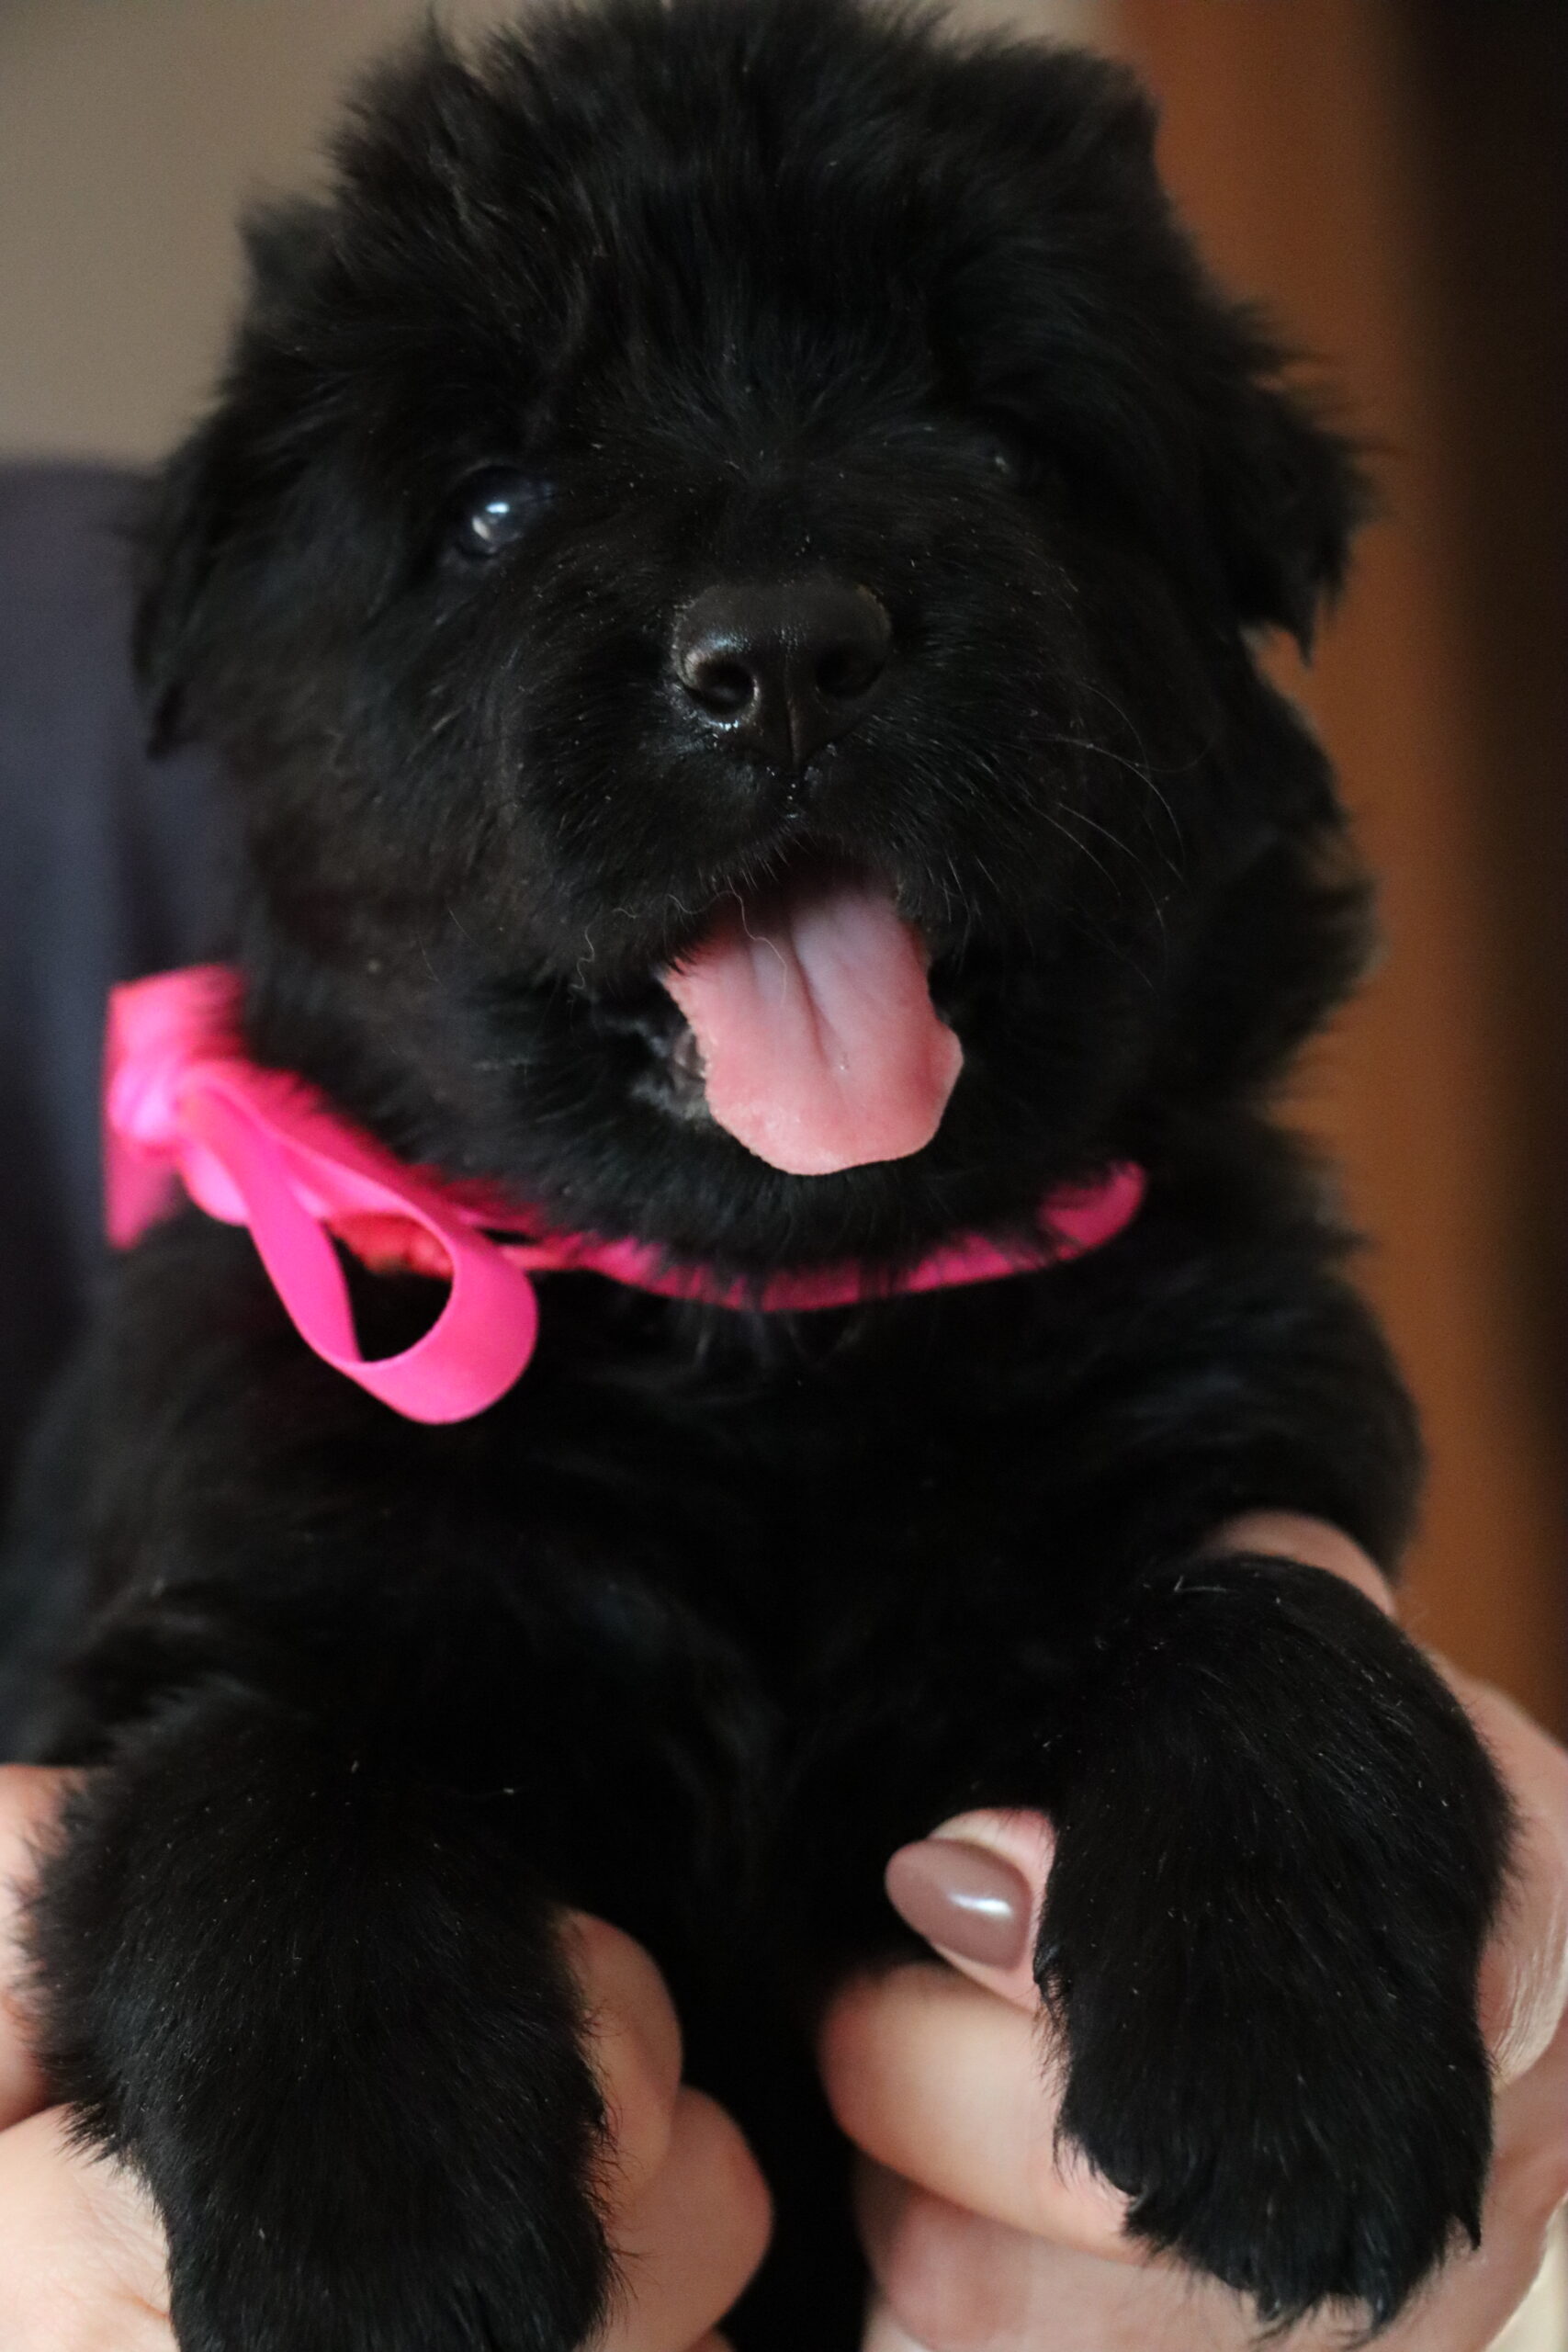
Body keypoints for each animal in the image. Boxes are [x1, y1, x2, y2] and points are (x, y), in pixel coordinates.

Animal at [0, 2, 1510, 2345]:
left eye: (994, 435)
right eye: (495, 503)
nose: (782, 651)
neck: (762, 1354)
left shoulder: (1238, 1428)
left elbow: (1265, 1614)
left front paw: (1289, 2070)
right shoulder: (220, 1578)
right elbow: (242, 1784)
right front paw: (380, 2231)